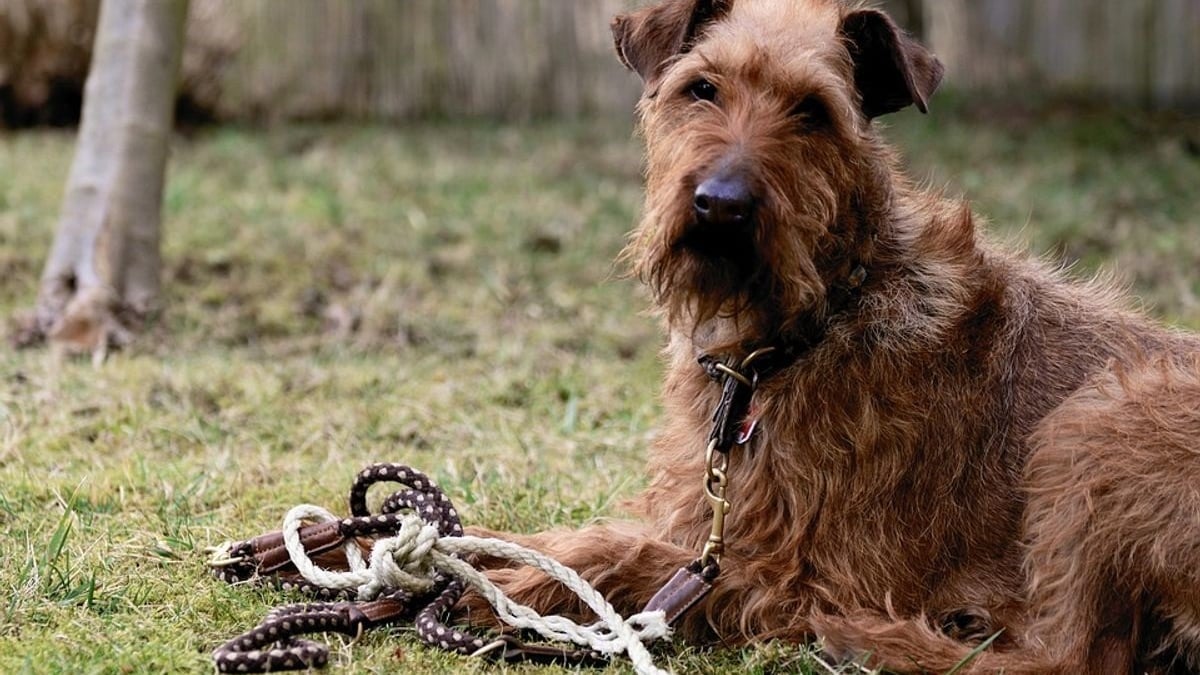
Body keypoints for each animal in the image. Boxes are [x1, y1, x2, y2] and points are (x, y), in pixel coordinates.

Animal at [465, 2, 1200, 667]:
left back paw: (874, 638)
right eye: (702, 88)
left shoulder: (813, 575)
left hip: (1101, 417)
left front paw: (501, 593)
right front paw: (474, 547)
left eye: (812, 110)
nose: (721, 205)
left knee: (1072, 656)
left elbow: (639, 559)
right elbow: (590, 542)